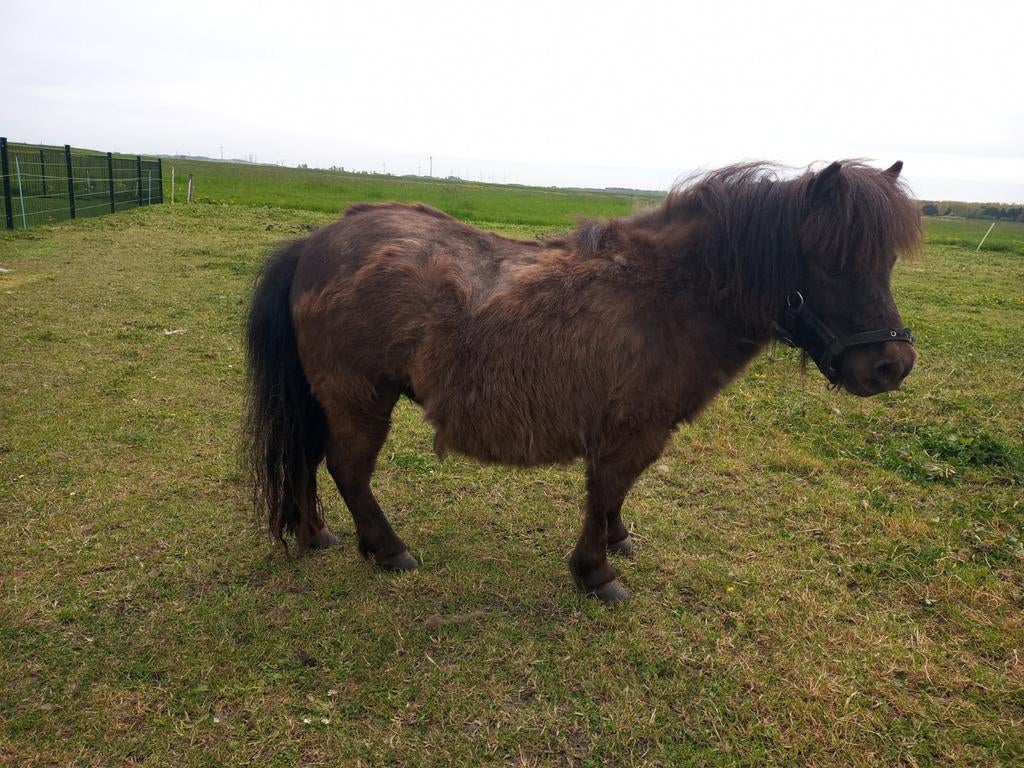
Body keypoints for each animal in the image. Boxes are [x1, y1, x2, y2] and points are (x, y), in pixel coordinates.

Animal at [244, 160, 920, 604]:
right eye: (831, 260)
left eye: (886, 260)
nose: (892, 365)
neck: (670, 295)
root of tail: (315, 244)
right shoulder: (632, 431)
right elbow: (606, 492)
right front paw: (596, 573)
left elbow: (614, 498)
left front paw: (616, 543)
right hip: (359, 398)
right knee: (347, 469)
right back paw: (387, 549)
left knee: (306, 460)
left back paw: (314, 533)